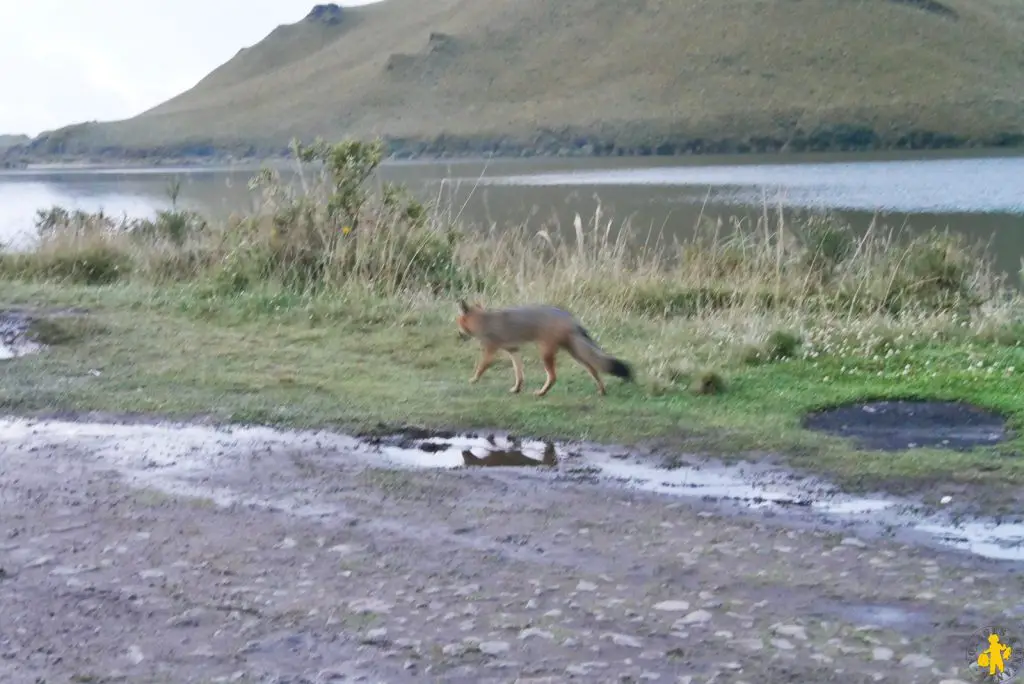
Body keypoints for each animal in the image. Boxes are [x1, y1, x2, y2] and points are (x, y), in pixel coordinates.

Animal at [454, 301, 630, 401]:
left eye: (458, 323)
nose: (458, 335)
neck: (483, 320)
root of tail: (570, 318)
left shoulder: (490, 351)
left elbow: (481, 367)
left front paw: (473, 380)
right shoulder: (514, 350)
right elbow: (519, 374)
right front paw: (517, 389)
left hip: (546, 354)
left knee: (553, 377)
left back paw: (541, 393)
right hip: (576, 354)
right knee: (594, 369)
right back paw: (602, 391)